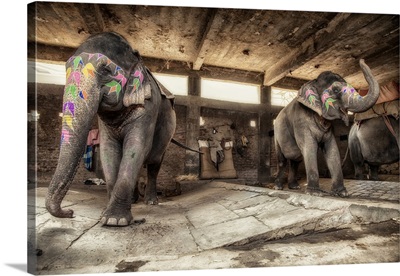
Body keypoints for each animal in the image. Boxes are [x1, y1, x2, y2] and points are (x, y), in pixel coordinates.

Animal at [45, 31, 177, 226]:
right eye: (66, 69)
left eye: (106, 71)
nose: (70, 212)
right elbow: (109, 150)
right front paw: (106, 215)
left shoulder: (148, 106)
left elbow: (136, 146)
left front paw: (115, 220)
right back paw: (134, 201)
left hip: (167, 132)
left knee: (154, 161)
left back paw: (151, 202)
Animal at [274, 58, 380, 196]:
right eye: (335, 90)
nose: (361, 59)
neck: (312, 82)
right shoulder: (301, 123)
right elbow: (310, 148)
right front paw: (315, 193)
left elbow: (332, 148)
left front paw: (342, 193)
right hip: (276, 136)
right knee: (282, 160)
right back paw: (278, 187)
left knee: (295, 161)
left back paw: (294, 187)